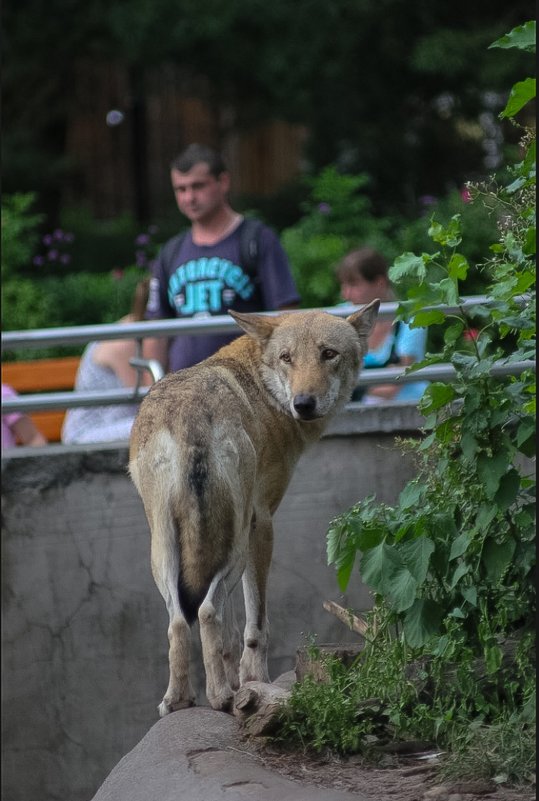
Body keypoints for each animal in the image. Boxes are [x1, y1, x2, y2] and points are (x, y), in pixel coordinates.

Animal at [128, 302, 378, 712]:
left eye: (329, 354)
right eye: (287, 358)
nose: (303, 404)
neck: (263, 388)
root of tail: (189, 418)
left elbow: (230, 636)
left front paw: (237, 680)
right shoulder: (263, 525)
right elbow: (256, 623)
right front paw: (255, 681)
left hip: (165, 551)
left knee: (179, 621)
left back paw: (180, 702)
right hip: (237, 546)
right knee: (206, 611)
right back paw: (220, 698)